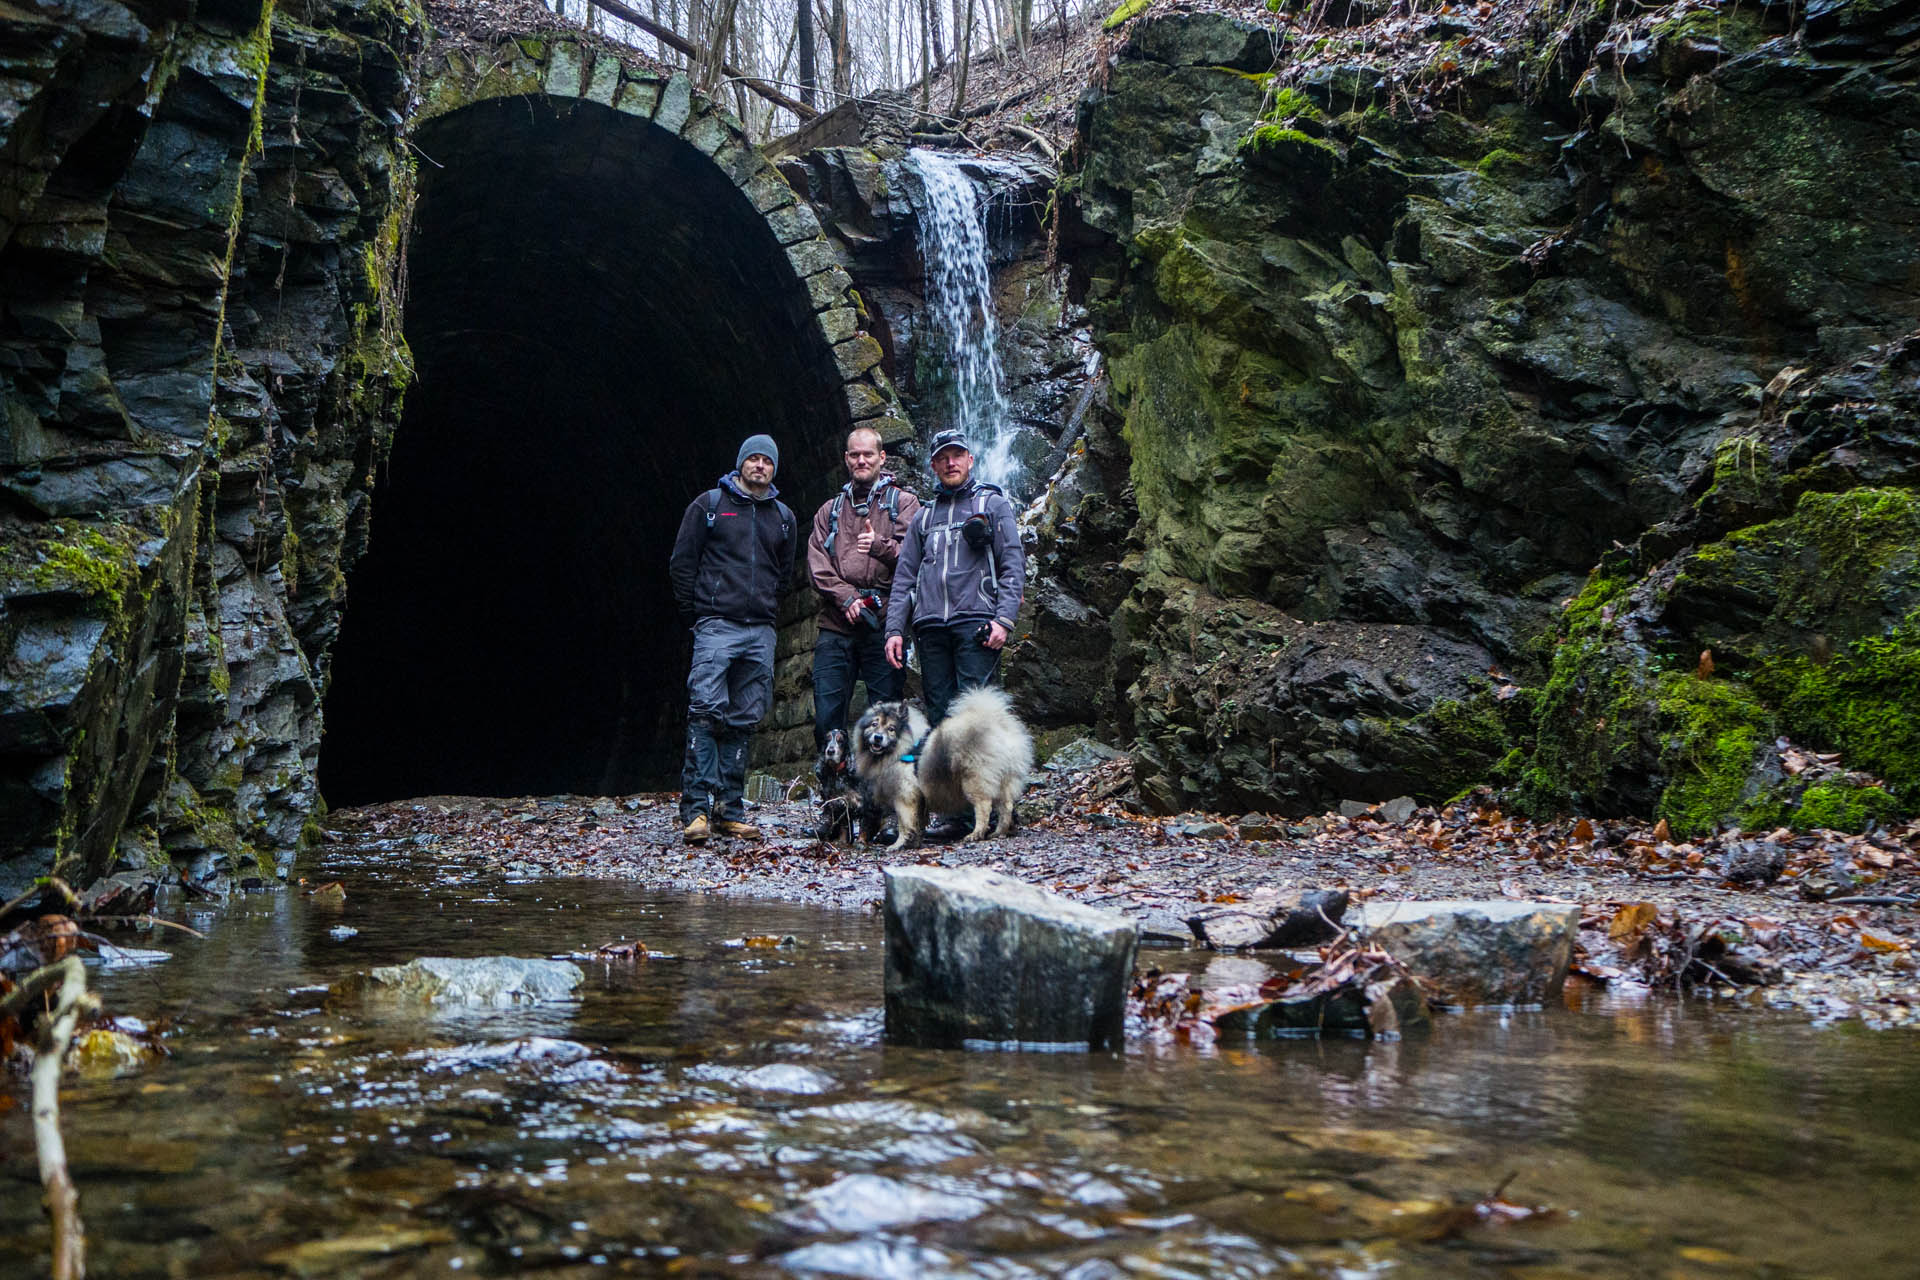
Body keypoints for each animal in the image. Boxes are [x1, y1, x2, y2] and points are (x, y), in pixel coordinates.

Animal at [856, 687, 1036, 855]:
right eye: (874, 724)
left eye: (891, 728)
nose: (878, 737)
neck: (903, 747)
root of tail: (998, 726)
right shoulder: (918, 798)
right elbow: (917, 823)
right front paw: (915, 843)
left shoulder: (904, 796)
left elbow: (905, 825)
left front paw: (898, 844)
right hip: (1004, 781)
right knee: (1006, 807)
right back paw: (999, 832)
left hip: (975, 781)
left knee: (984, 807)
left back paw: (976, 833)